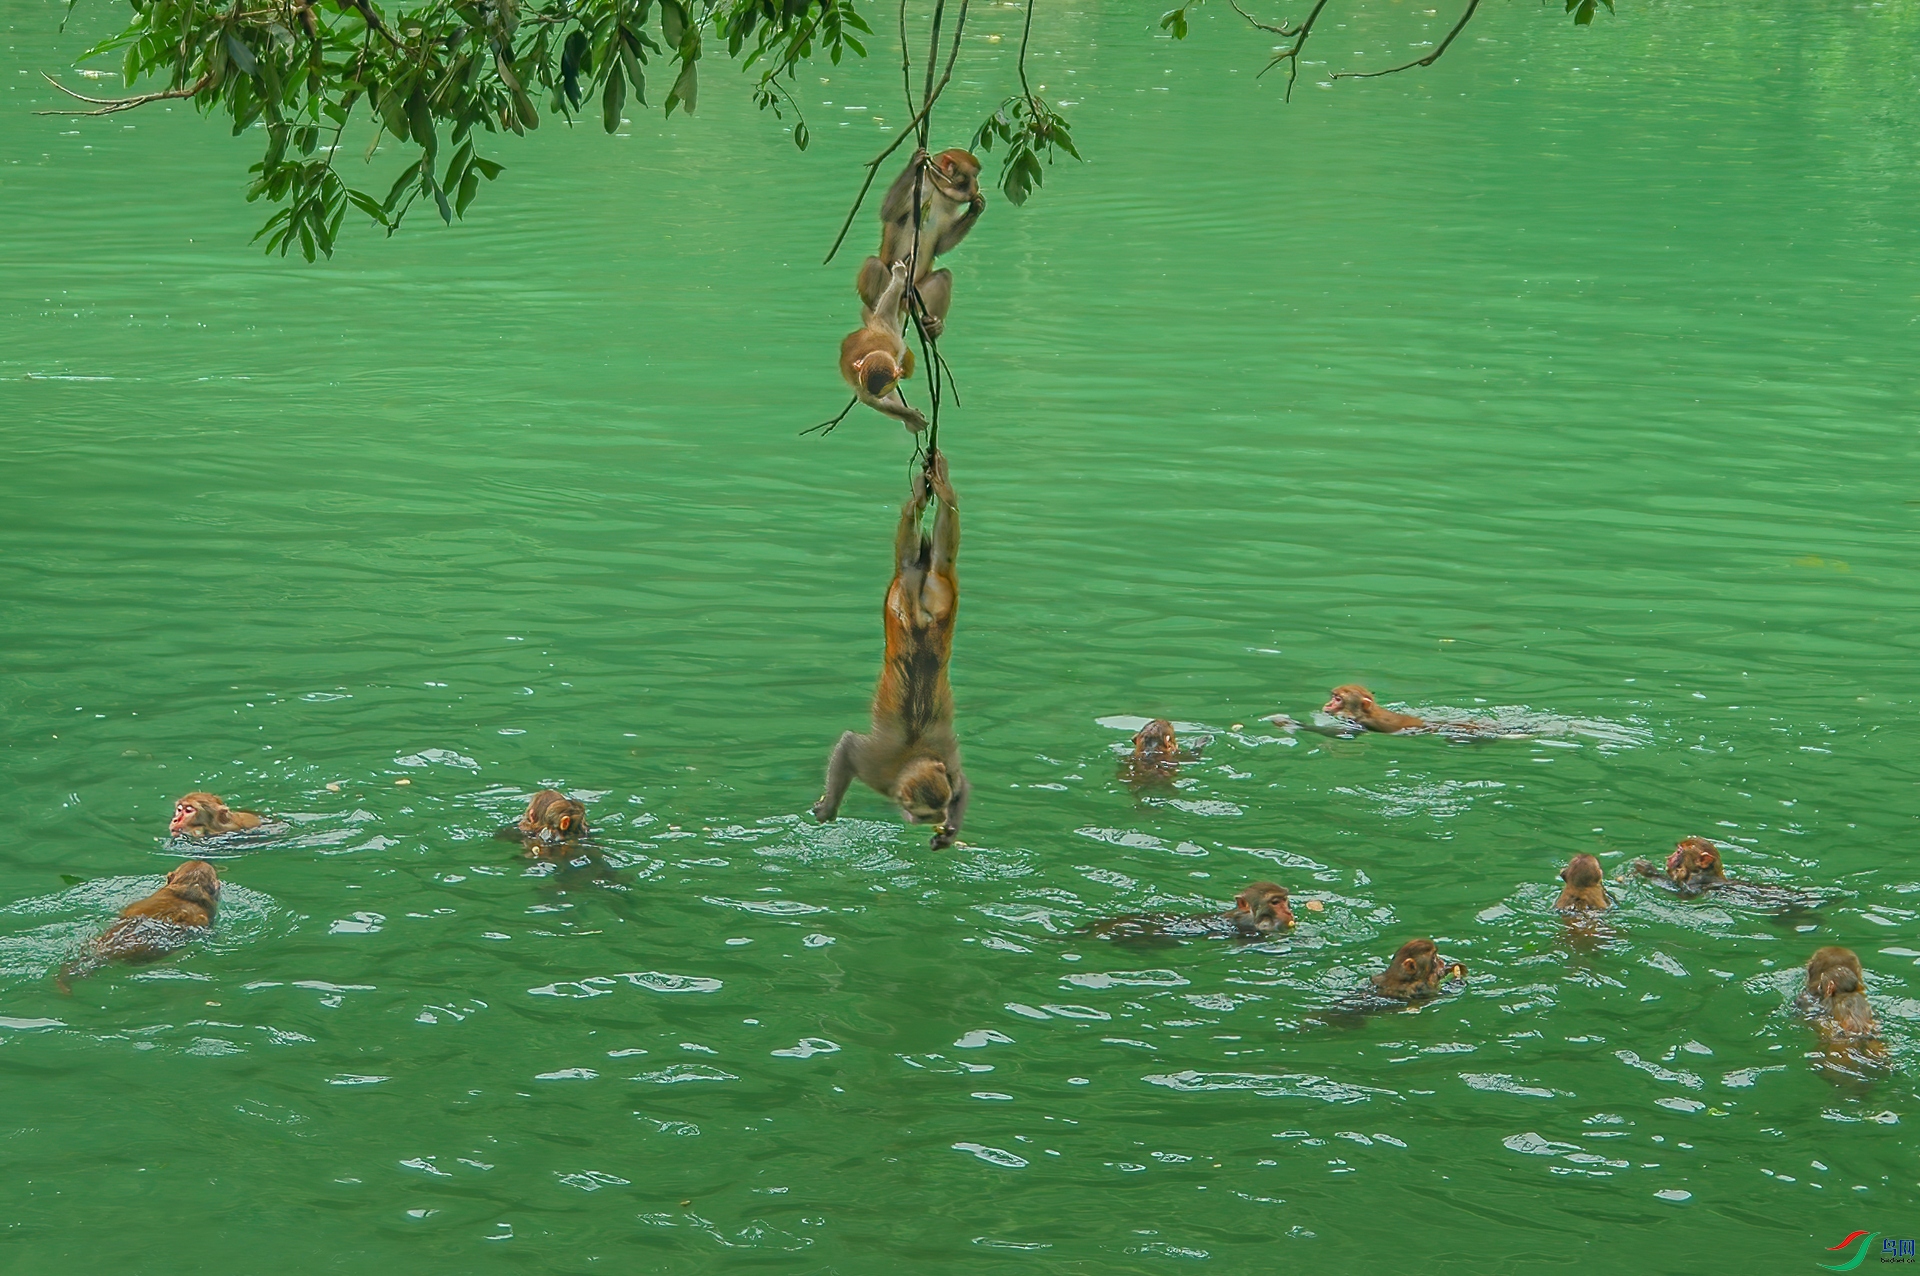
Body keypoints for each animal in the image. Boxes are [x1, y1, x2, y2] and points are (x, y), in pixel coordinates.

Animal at [812, 451, 967, 849]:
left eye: (939, 809)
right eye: (926, 813)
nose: (938, 819)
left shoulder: (944, 770)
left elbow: (962, 784)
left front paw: (949, 832)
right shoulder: (879, 769)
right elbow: (849, 746)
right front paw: (830, 807)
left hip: (936, 594)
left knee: (932, 555)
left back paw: (936, 491)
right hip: (921, 594)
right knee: (918, 553)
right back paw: (927, 495)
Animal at [839, 260, 928, 433]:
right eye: (878, 393)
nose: (878, 395)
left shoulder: (892, 338)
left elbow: (885, 312)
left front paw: (898, 278)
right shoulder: (861, 384)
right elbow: (876, 403)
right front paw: (909, 416)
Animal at [856, 148, 986, 340]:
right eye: (973, 176)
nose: (977, 186)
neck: (938, 193)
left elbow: (941, 245)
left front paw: (976, 207)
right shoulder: (918, 190)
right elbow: (889, 212)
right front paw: (915, 162)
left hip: (916, 298)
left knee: (943, 276)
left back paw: (931, 327)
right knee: (874, 264)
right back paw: (878, 315)